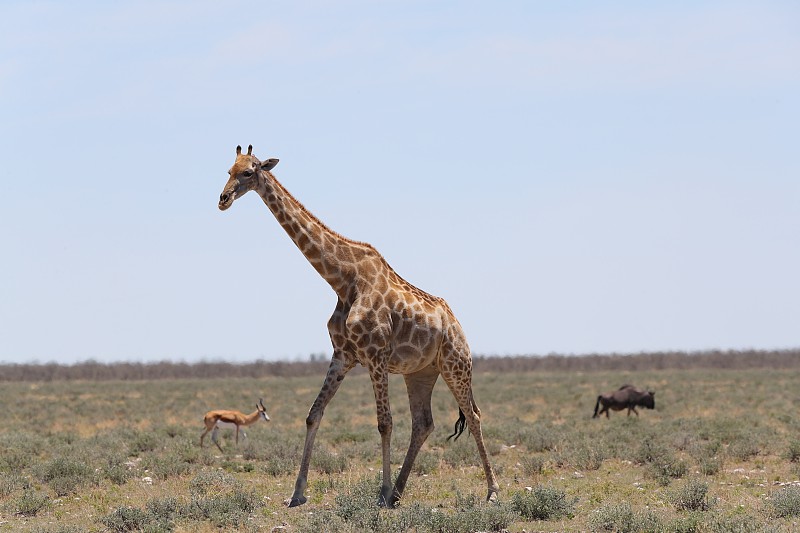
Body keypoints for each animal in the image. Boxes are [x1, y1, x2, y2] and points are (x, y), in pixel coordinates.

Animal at [216, 144, 496, 508]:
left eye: (249, 172)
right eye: (228, 171)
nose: (223, 198)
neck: (342, 280)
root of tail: (457, 323)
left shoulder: (375, 355)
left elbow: (384, 423)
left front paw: (380, 492)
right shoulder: (343, 355)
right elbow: (313, 414)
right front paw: (297, 493)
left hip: (455, 364)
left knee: (473, 416)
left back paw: (491, 490)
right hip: (420, 372)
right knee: (423, 424)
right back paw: (399, 492)